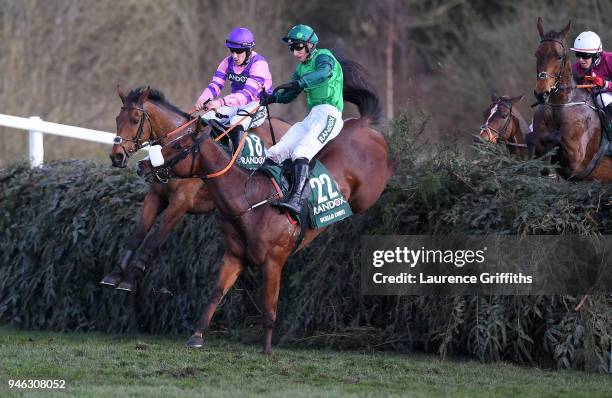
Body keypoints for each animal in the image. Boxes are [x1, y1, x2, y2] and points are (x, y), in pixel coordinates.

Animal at [100, 86, 290, 290]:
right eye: (117, 119)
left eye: (135, 120)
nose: (117, 157)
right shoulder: (155, 196)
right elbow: (137, 234)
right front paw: (115, 274)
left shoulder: (180, 203)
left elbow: (153, 240)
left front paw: (130, 278)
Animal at [147, 63, 396, 354]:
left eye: (177, 145)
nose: (142, 164)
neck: (248, 201)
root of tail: (362, 123)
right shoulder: (234, 257)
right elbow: (215, 294)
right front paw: (196, 335)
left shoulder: (273, 262)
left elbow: (269, 309)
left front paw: (266, 349)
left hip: (367, 190)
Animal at [532, 17, 612, 180]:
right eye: (537, 54)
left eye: (559, 56)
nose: (541, 93)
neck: (560, 105)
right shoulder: (539, 147)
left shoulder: (576, 160)